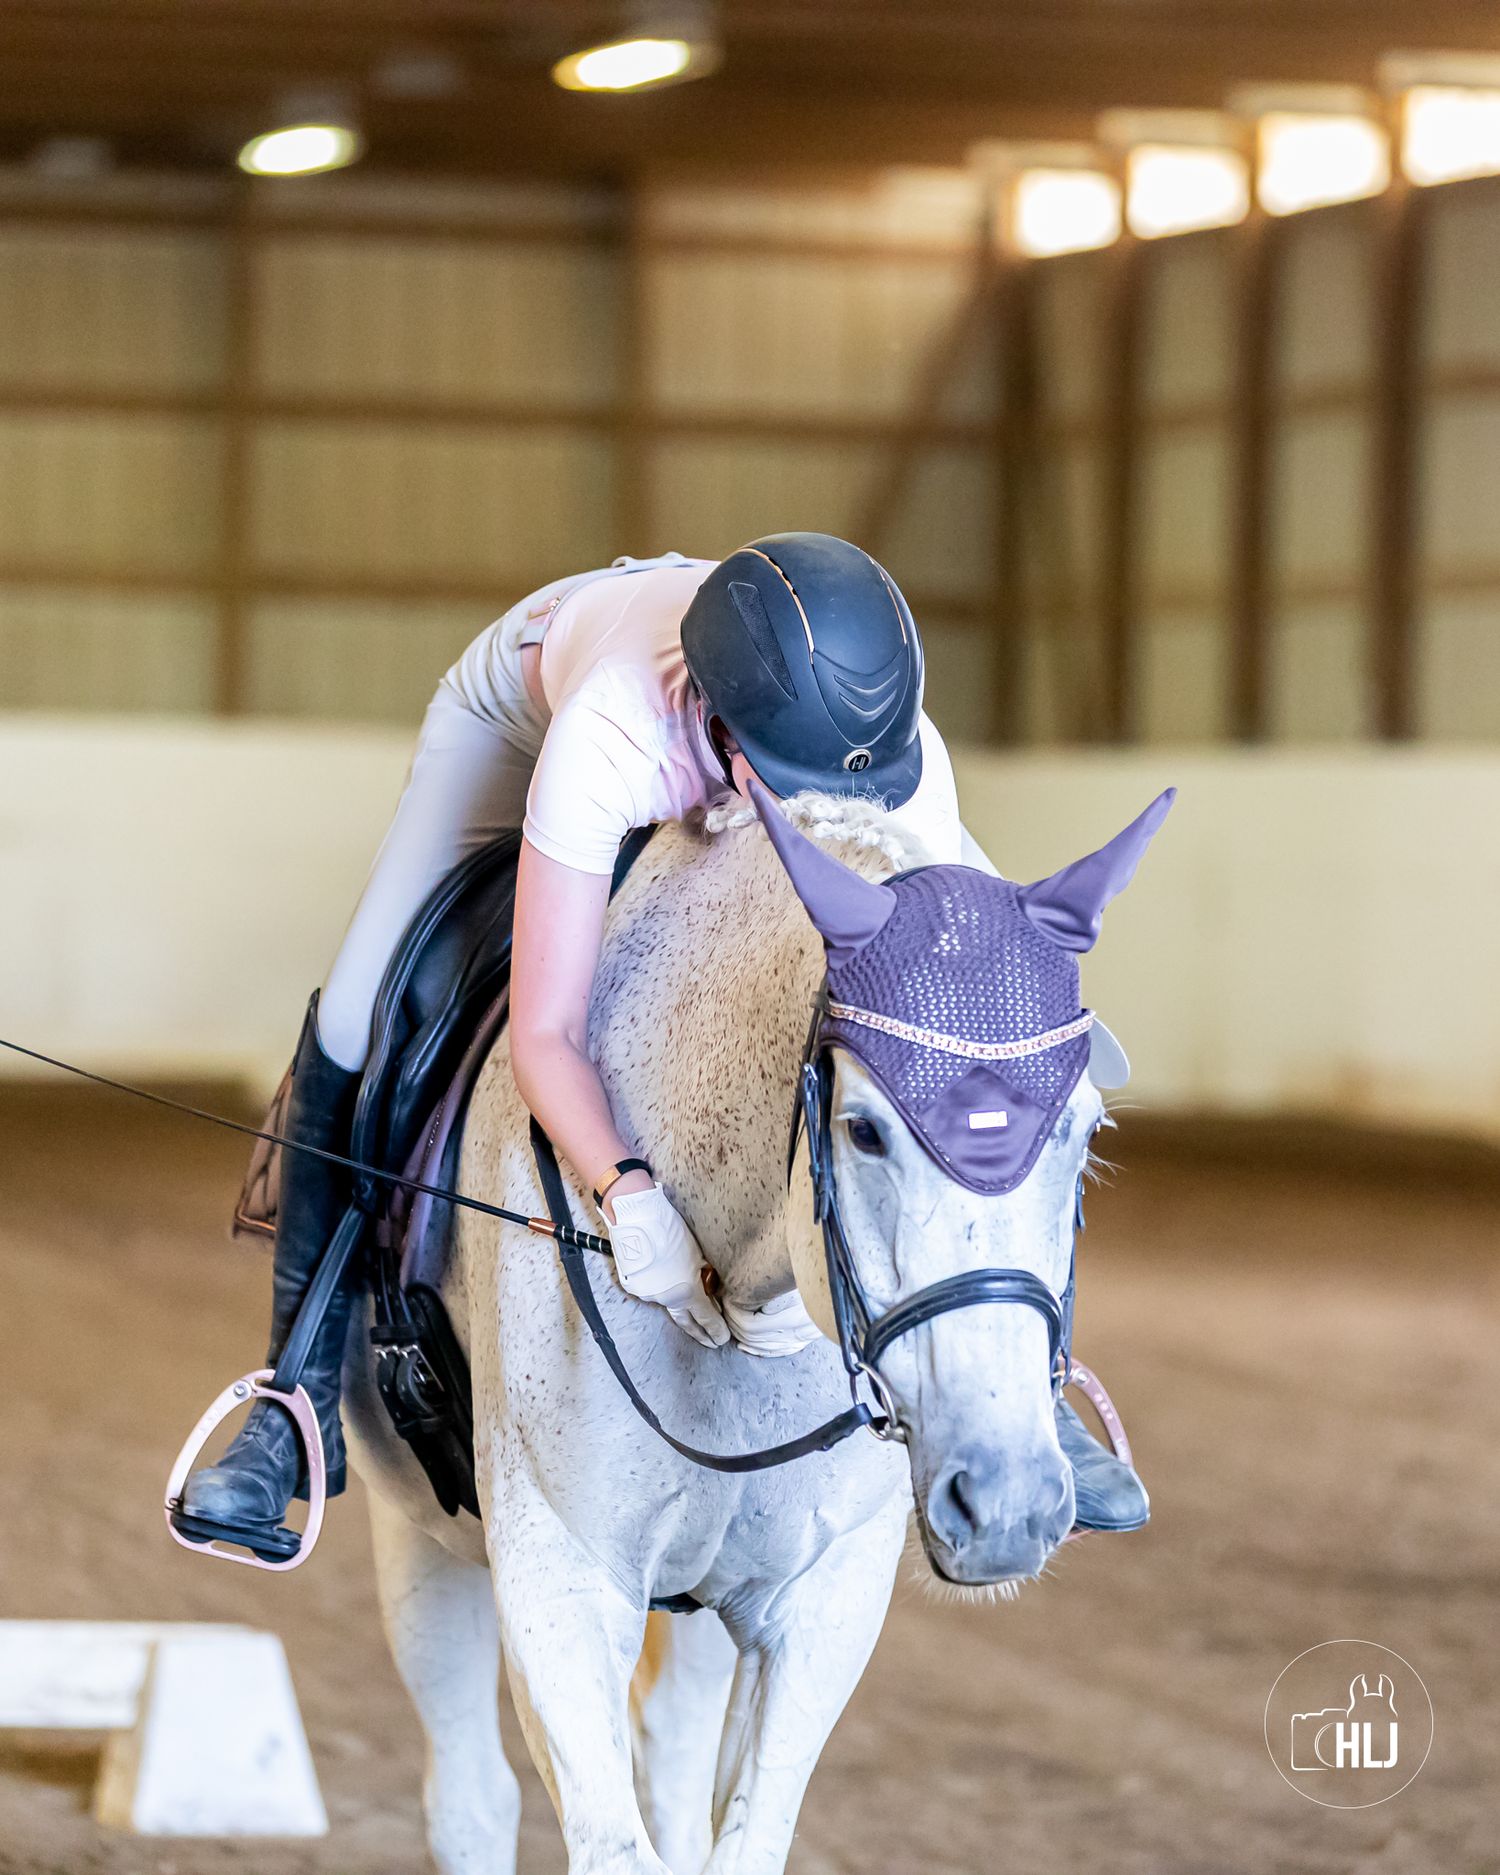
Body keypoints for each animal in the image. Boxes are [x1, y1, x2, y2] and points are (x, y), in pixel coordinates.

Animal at [341, 783, 1168, 1875]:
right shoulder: (559, 1574)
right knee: (472, 1798)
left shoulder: (821, 1594)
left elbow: (738, 1835)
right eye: (865, 1130)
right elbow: (611, 1844)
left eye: (1086, 1133)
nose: (1005, 1504)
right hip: (420, 1536)